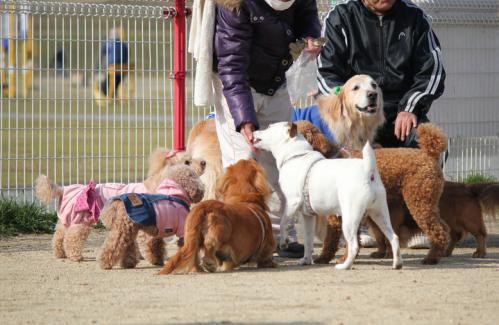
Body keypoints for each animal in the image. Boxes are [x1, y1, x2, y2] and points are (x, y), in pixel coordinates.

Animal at [36, 149, 205, 260]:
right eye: (187, 162)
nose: (204, 162)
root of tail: (63, 189)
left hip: (67, 217)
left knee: (59, 235)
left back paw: (60, 254)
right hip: (82, 219)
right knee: (72, 237)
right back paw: (75, 256)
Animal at [254, 121, 402, 268]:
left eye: (269, 127)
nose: (254, 131)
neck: (296, 155)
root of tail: (368, 171)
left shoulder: (292, 203)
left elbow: (283, 222)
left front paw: (284, 242)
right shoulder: (307, 216)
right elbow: (308, 240)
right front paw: (306, 260)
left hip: (350, 219)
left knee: (354, 245)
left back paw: (344, 266)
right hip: (379, 214)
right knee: (394, 237)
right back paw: (397, 264)